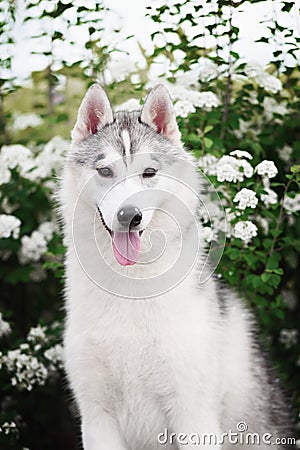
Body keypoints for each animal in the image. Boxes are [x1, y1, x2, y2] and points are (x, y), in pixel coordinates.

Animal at [59, 83, 292, 446]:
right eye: (105, 171)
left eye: (149, 173)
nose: (129, 215)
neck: (130, 286)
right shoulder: (97, 416)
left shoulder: (192, 413)